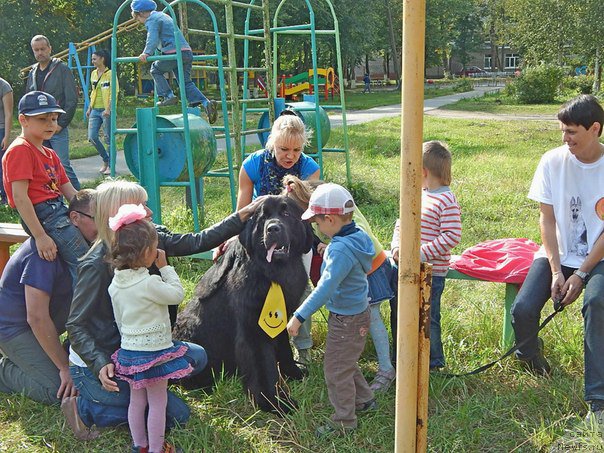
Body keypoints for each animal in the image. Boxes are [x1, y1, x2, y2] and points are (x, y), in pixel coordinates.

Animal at [172, 194, 314, 414]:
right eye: (262, 218)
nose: (273, 228)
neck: (271, 272)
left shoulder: (281, 316)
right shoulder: (252, 328)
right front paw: (275, 402)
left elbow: (284, 349)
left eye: (287, 213)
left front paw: (293, 373)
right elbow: (264, 367)